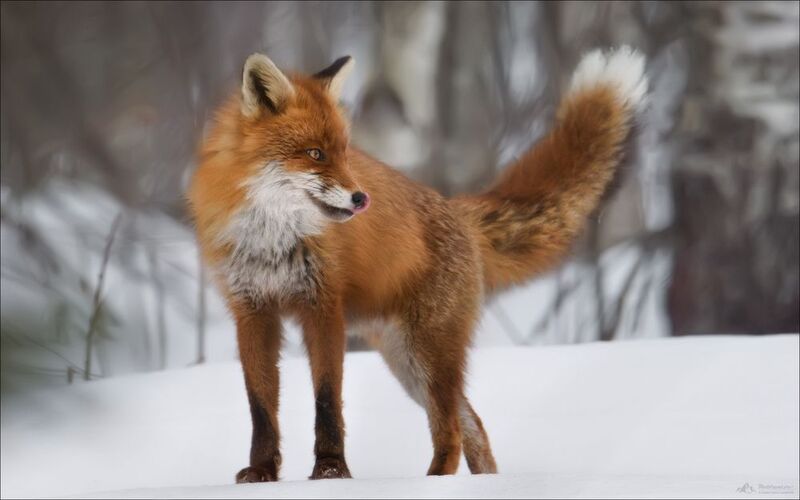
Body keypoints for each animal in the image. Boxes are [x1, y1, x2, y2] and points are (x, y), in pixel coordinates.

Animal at [188, 46, 648, 482]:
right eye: (315, 153)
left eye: (345, 152)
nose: (360, 199)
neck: (271, 237)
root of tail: (457, 211)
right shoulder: (252, 312)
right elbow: (261, 407)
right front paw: (262, 473)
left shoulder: (324, 308)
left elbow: (327, 400)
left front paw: (331, 472)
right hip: (408, 362)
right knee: (474, 427)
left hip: (426, 356)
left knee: (453, 430)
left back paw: (433, 482)